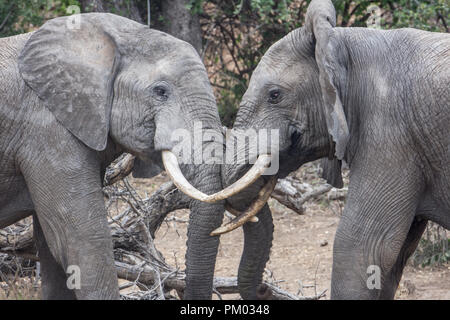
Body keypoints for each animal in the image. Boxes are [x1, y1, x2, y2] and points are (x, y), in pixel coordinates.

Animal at [212, 0, 450, 300]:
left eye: (275, 95)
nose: (266, 289)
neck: (342, 41)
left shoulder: (391, 135)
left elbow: (360, 248)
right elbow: (392, 258)